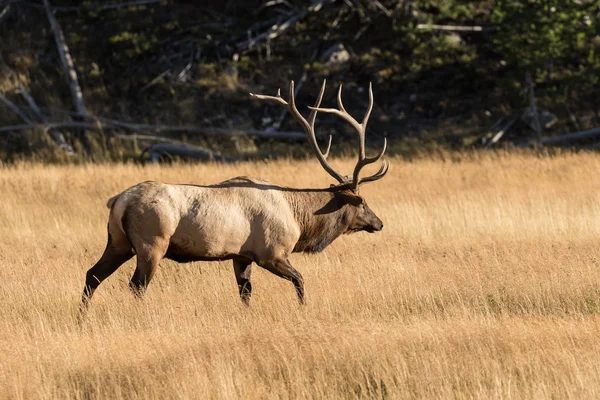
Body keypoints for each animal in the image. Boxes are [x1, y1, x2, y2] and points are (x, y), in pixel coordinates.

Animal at [79, 80, 390, 312]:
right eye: (363, 203)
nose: (379, 223)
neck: (299, 219)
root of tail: (119, 201)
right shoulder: (271, 253)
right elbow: (300, 281)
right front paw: (304, 309)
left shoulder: (242, 256)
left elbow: (245, 294)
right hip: (151, 244)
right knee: (136, 286)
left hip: (118, 242)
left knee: (92, 274)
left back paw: (82, 318)